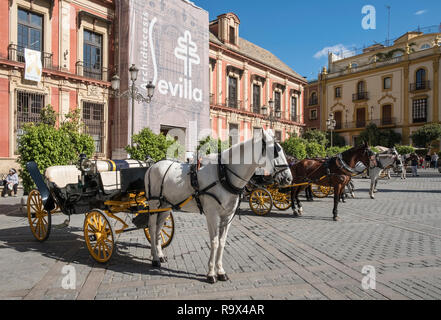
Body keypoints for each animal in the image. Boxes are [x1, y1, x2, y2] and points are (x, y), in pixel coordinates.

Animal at [143, 129, 290, 284]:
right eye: (275, 151)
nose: (288, 178)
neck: (223, 174)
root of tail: (152, 165)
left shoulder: (227, 216)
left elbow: (222, 242)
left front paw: (220, 271)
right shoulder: (212, 214)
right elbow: (214, 242)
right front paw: (211, 273)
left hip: (166, 205)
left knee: (158, 228)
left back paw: (159, 255)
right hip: (154, 204)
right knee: (152, 228)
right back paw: (155, 259)